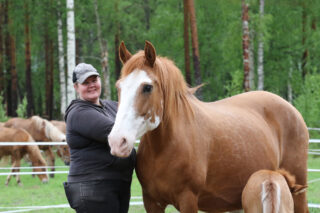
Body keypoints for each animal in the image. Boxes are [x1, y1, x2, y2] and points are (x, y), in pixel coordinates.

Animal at [108, 40, 310, 212]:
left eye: (147, 87)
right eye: (119, 87)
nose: (118, 141)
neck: (164, 148)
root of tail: (293, 110)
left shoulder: (188, 200)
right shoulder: (152, 202)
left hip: (296, 193)